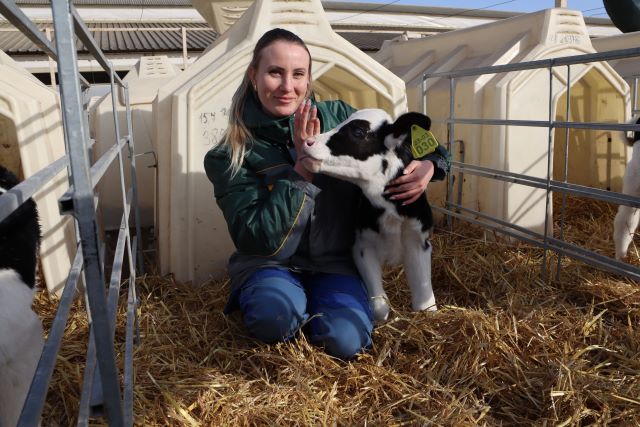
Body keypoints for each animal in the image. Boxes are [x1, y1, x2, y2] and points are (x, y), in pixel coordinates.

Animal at [300, 109, 437, 321]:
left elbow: (425, 303)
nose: (307, 142)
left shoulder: (419, 240)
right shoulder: (361, 246)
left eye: (358, 132)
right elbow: (380, 307)